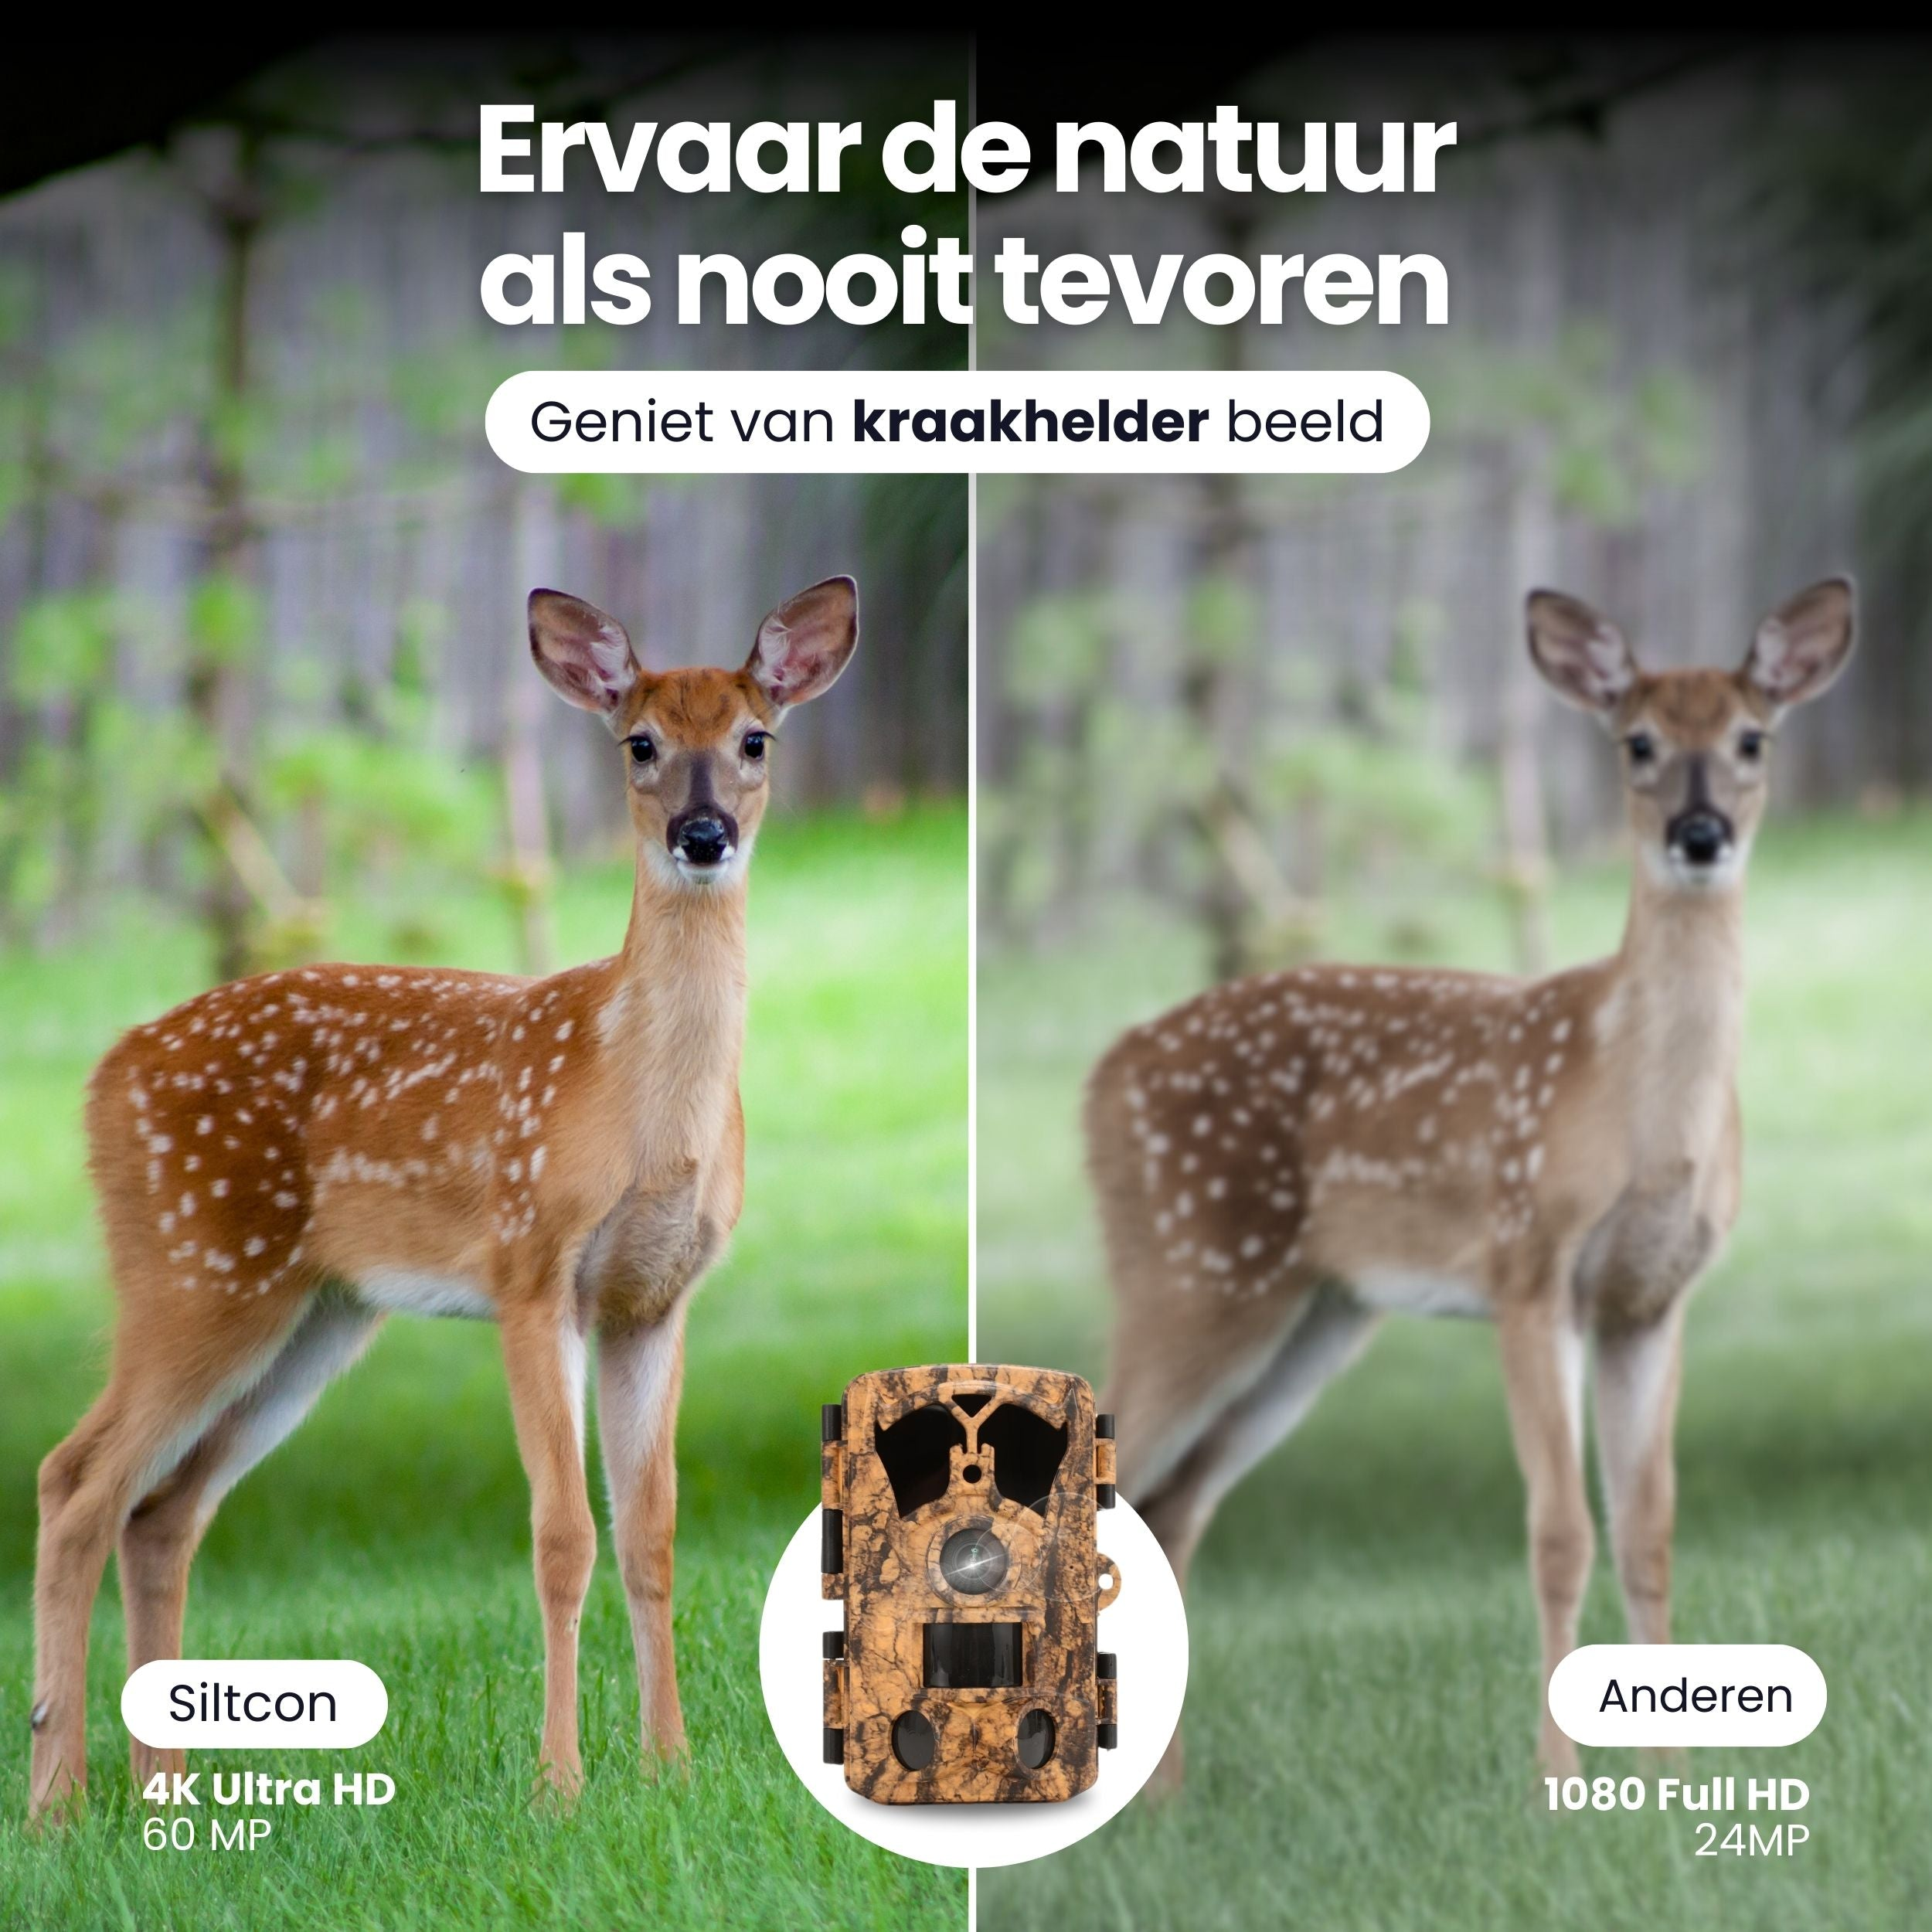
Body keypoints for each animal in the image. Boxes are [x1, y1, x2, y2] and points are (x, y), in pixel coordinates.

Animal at [27, 575, 859, 1825]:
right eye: (640, 744)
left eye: (755, 739)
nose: (701, 834)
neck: (640, 1100)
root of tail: (102, 1076)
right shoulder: (531, 1269)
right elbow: (562, 1534)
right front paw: (560, 1782)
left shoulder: (655, 1301)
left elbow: (651, 1534)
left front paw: (669, 1768)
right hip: (192, 1268)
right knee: (74, 1481)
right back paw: (58, 1802)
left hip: (313, 1318)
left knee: (162, 1511)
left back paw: (164, 1790)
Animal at [1088, 580, 1855, 1788]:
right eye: (1638, 742)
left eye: (1751, 739)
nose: (1699, 835)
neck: (1638, 1104)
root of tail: (1099, 1076)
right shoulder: (1528, 1265)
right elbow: (1558, 1532)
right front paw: (1556, 1782)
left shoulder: (1651, 1301)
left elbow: (1648, 1530)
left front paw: (1673, 1773)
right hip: (1186, 1266)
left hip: (1315, 1316)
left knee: (1172, 1505)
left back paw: (1158, 1802)